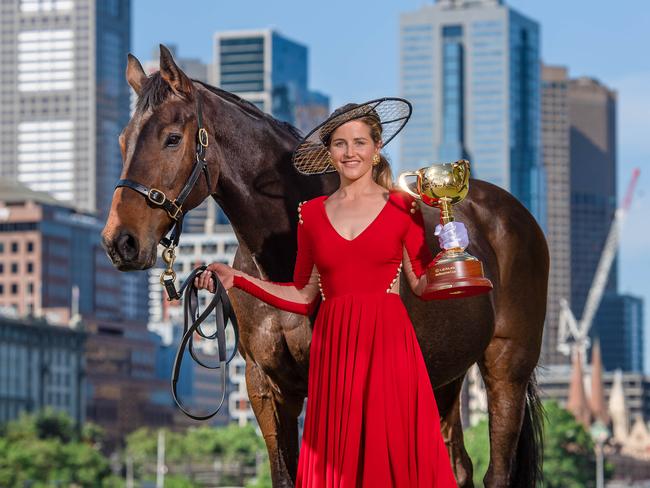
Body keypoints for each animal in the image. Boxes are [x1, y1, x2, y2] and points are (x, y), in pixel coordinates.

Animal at [102, 44, 548, 484]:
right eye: (123, 141)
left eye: (172, 138)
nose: (120, 241)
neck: (285, 258)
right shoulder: (268, 389)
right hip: (446, 377)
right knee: (457, 466)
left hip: (506, 367)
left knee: (496, 470)